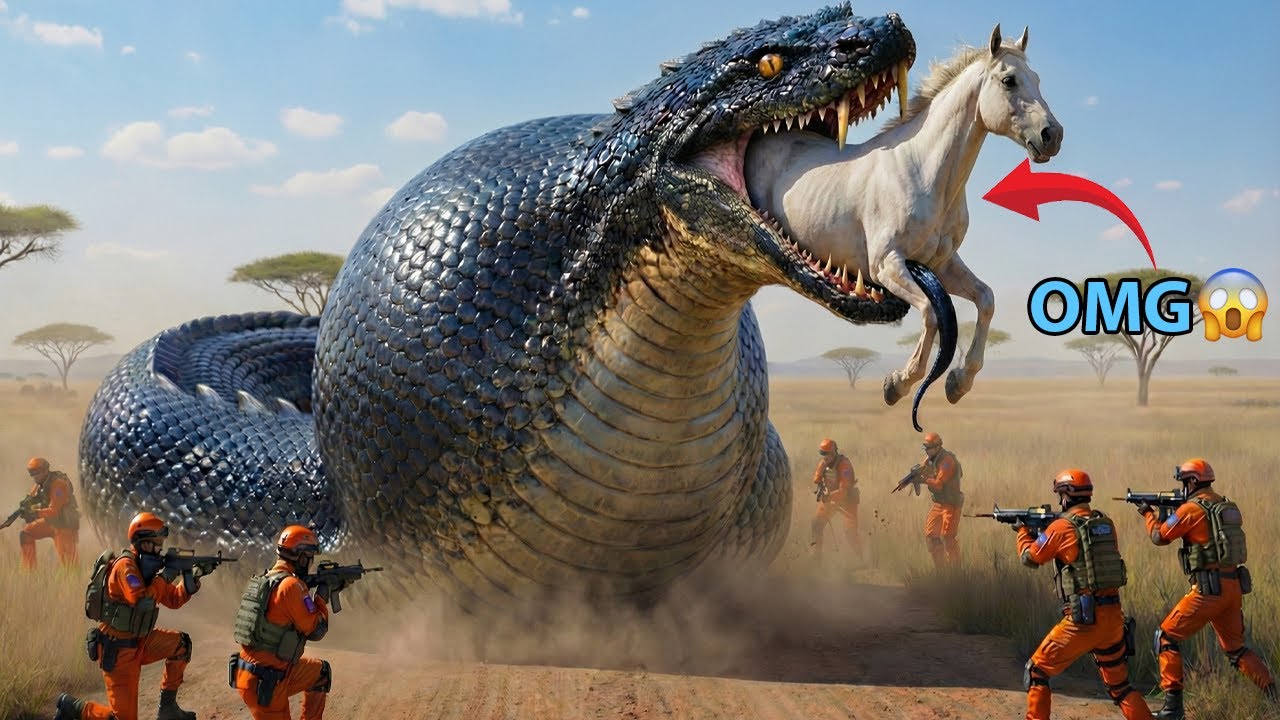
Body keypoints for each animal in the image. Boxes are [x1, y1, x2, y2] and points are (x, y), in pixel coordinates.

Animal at [744, 24, 1063, 429]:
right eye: (1009, 80)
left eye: (1036, 78)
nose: (1052, 136)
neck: (923, 170)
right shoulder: (886, 266)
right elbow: (929, 313)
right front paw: (896, 384)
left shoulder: (941, 264)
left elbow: (986, 299)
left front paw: (958, 383)